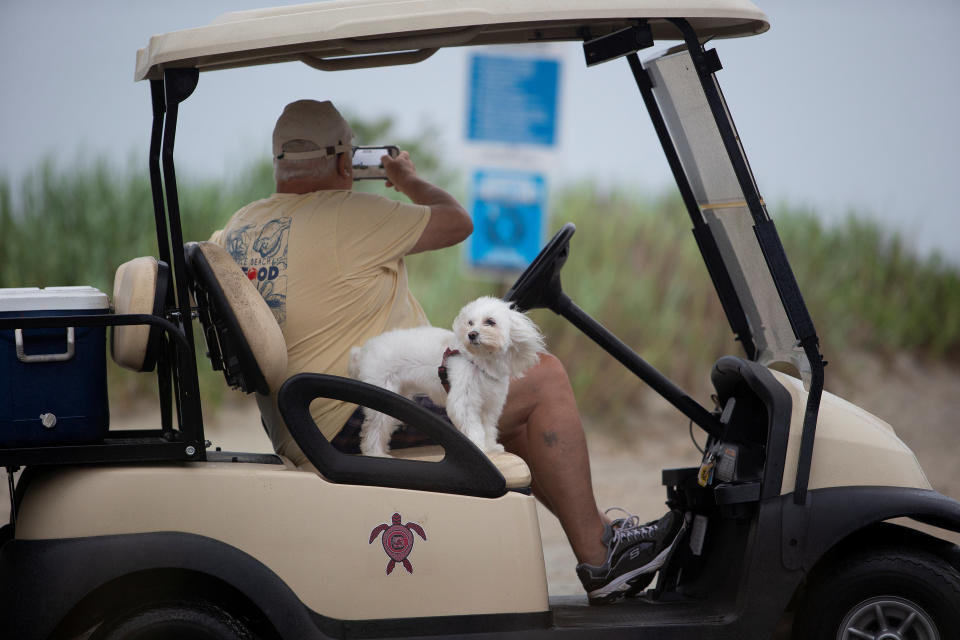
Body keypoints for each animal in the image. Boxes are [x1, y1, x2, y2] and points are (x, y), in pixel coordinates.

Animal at [350, 298, 548, 458]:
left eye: (490, 322)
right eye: (470, 323)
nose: (472, 334)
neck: (480, 361)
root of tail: (363, 351)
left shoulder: (490, 404)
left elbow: (488, 427)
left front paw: (491, 447)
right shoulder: (465, 400)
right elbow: (473, 426)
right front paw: (480, 448)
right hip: (383, 396)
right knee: (373, 429)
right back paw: (375, 452)